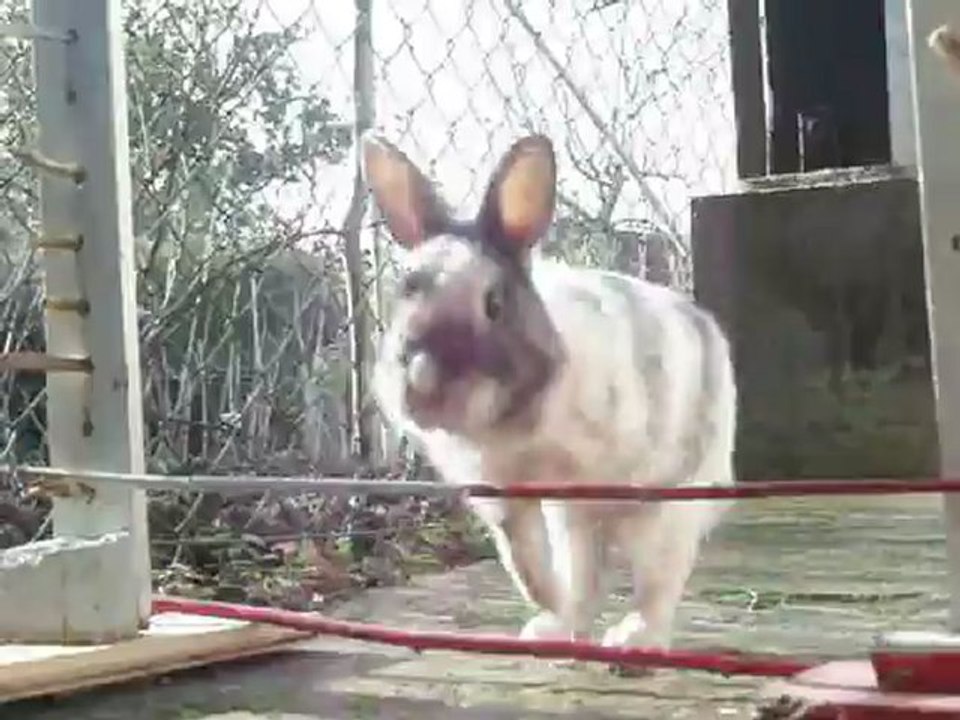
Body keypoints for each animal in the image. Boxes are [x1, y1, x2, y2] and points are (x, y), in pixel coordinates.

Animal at [362, 132, 737, 663]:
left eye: (494, 303)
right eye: (403, 291)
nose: (422, 381)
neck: (511, 426)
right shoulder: (506, 498)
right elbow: (526, 564)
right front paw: (549, 607)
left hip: (666, 511)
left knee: (657, 584)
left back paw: (633, 642)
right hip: (579, 522)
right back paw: (557, 632)